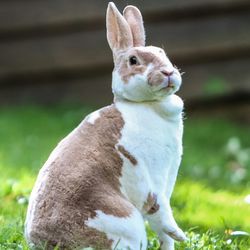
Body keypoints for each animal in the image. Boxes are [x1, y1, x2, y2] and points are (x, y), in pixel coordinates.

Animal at [24, 1, 186, 250]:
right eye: (133, 60)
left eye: (163, 53)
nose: (168, 73)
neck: (147, 105)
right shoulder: (153, 179)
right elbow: (160, 211)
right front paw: (180, 235)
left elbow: (162, 229)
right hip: (127, 222)